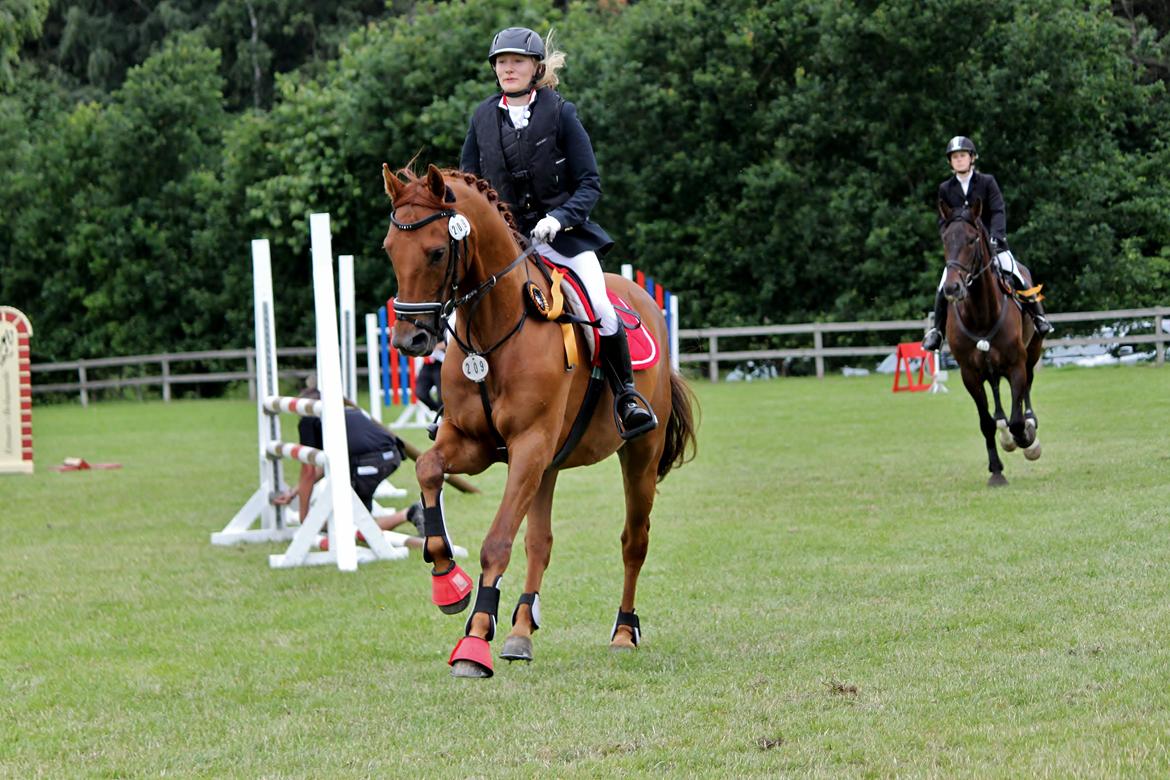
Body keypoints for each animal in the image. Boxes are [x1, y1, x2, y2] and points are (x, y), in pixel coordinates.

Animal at [381, 163, 692, 678]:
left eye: (437, 251)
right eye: (389, 248)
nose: (411, 340)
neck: (492, 332)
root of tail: (639, 295)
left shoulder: (528, 444)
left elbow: (497, 541)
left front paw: (474, 642)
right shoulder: (474, 443)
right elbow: (427, 467)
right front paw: (448, 581)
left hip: (637, 455)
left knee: (634, 541)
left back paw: (623, 632)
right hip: (548, 465)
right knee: (539, 542)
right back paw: (521, 631)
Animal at [935, 198, 1048, 484]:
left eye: (972, 240)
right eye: (945, 239)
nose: (952, 288)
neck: (981, 313)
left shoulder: (1016, 364)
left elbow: (1017, 418)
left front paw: (1026, 439)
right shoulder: (970, 374)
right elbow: (985, 422)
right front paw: (996, 471)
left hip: (1031, 352)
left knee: (1027, 386)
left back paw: (1028, 426)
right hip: (989, 367)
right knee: (996, 392)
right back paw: (1003, 427)